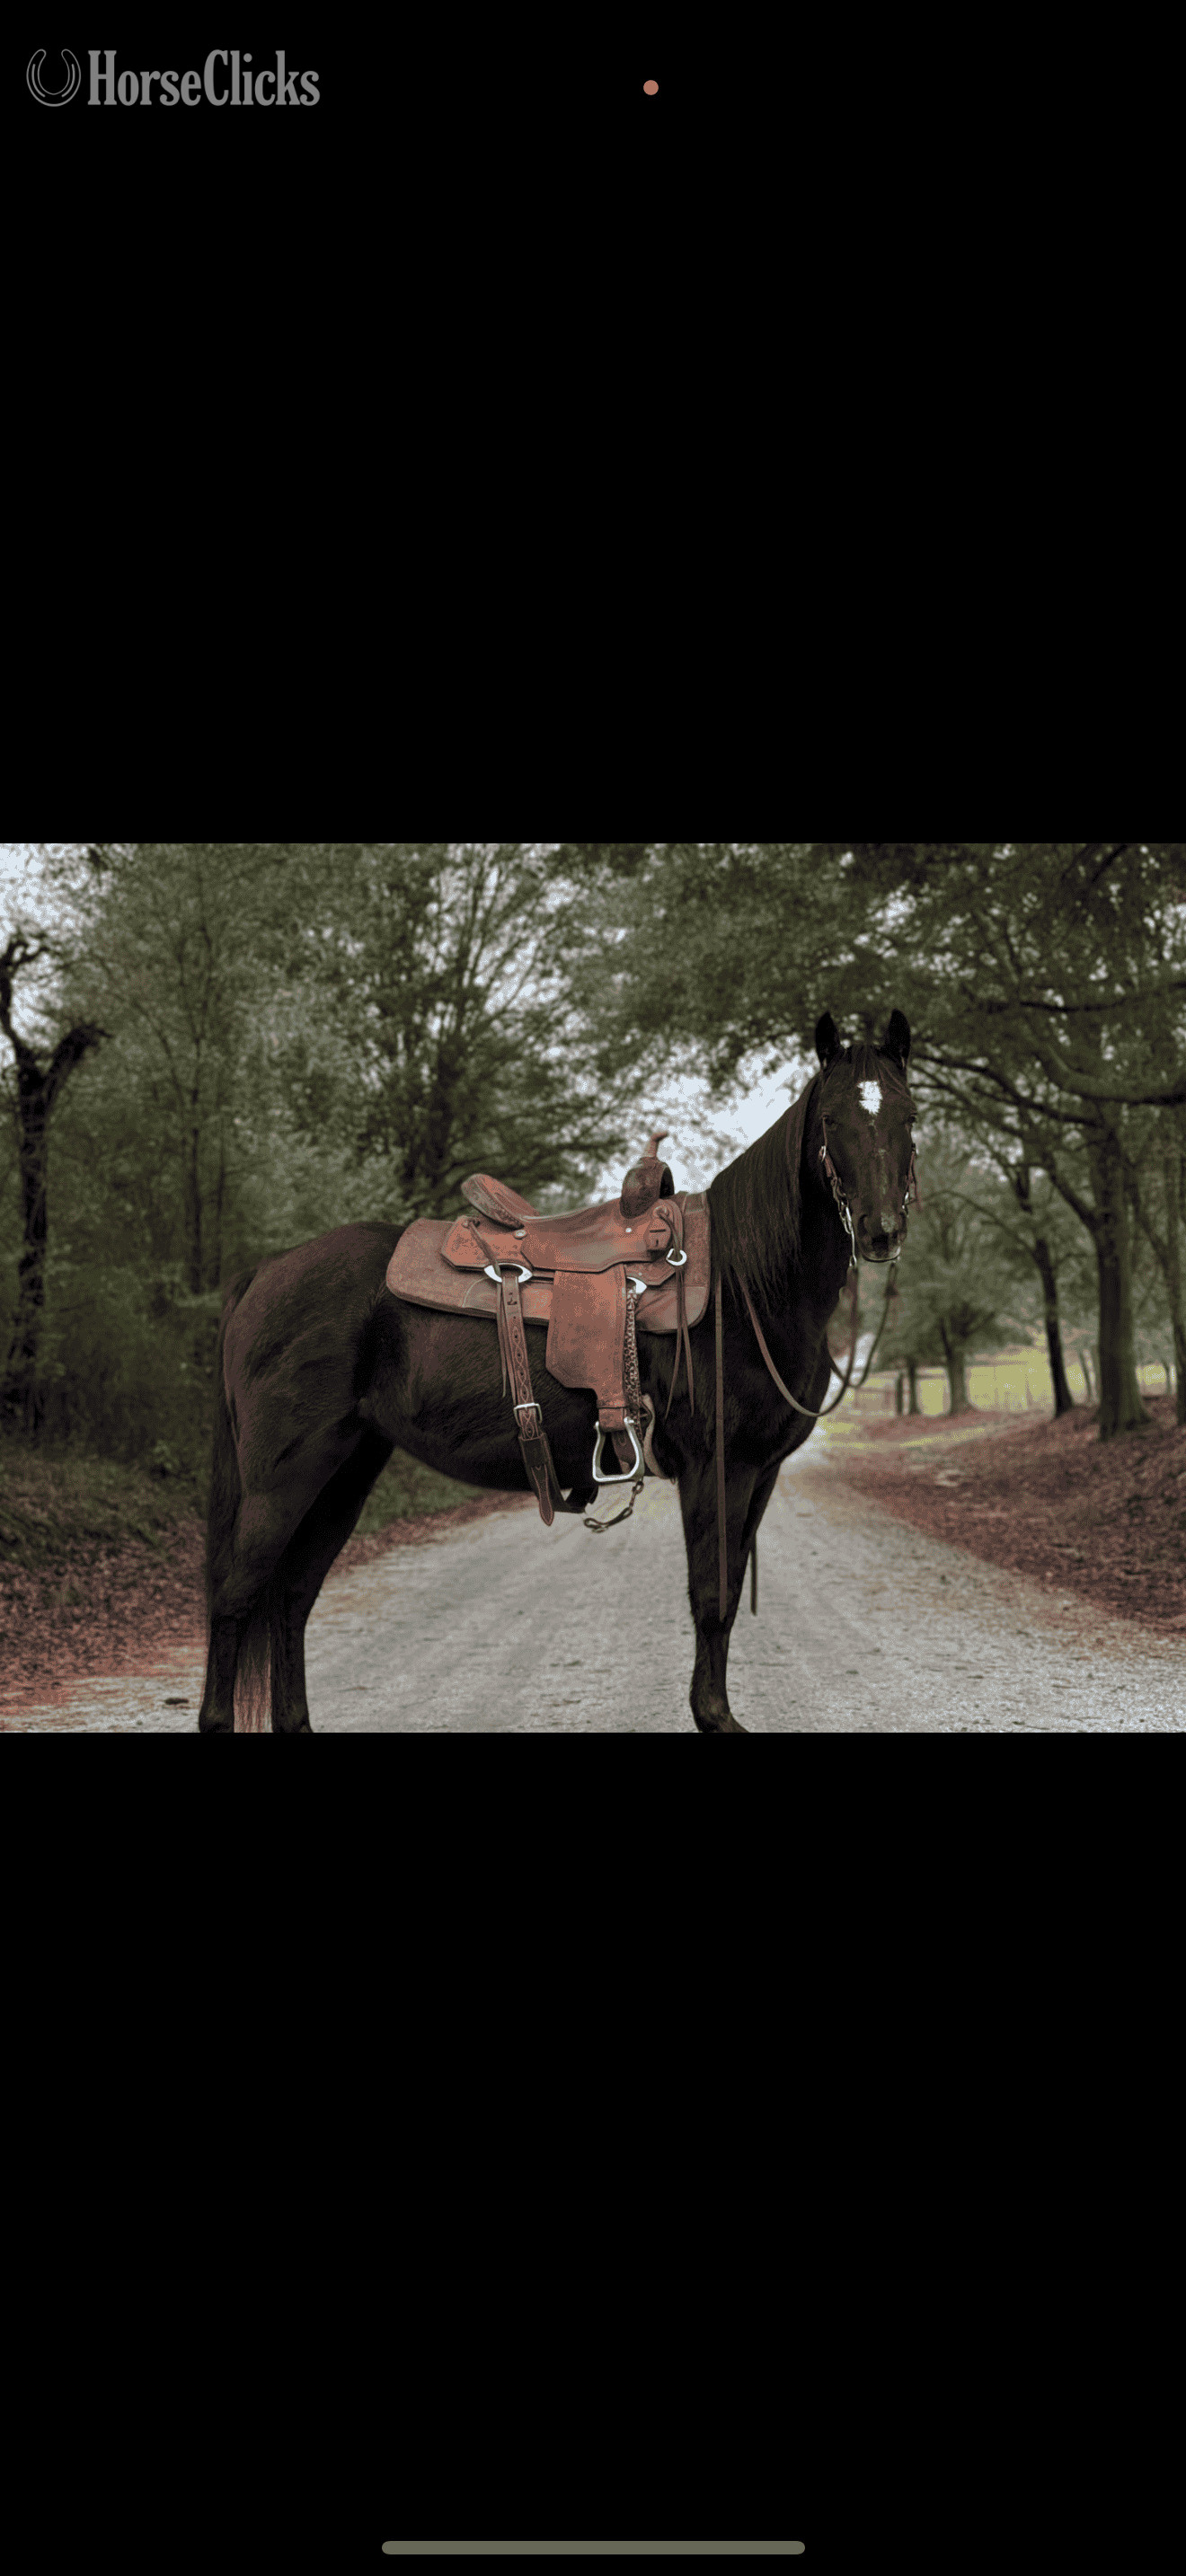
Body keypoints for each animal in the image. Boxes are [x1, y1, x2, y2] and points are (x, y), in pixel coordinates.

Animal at [197, 1008, 917, 1733]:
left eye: (908, 1115)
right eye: (831, 1120)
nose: (881, 1230)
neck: (744, 1287)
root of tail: (266, 1271)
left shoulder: (759, 1472)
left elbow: (730, 1590)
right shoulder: (718, 1468)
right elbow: (711, 1596)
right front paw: (714, 1716)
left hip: (346, 1471)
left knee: (291, 1600)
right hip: (285, 1474)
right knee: (235, 1595)